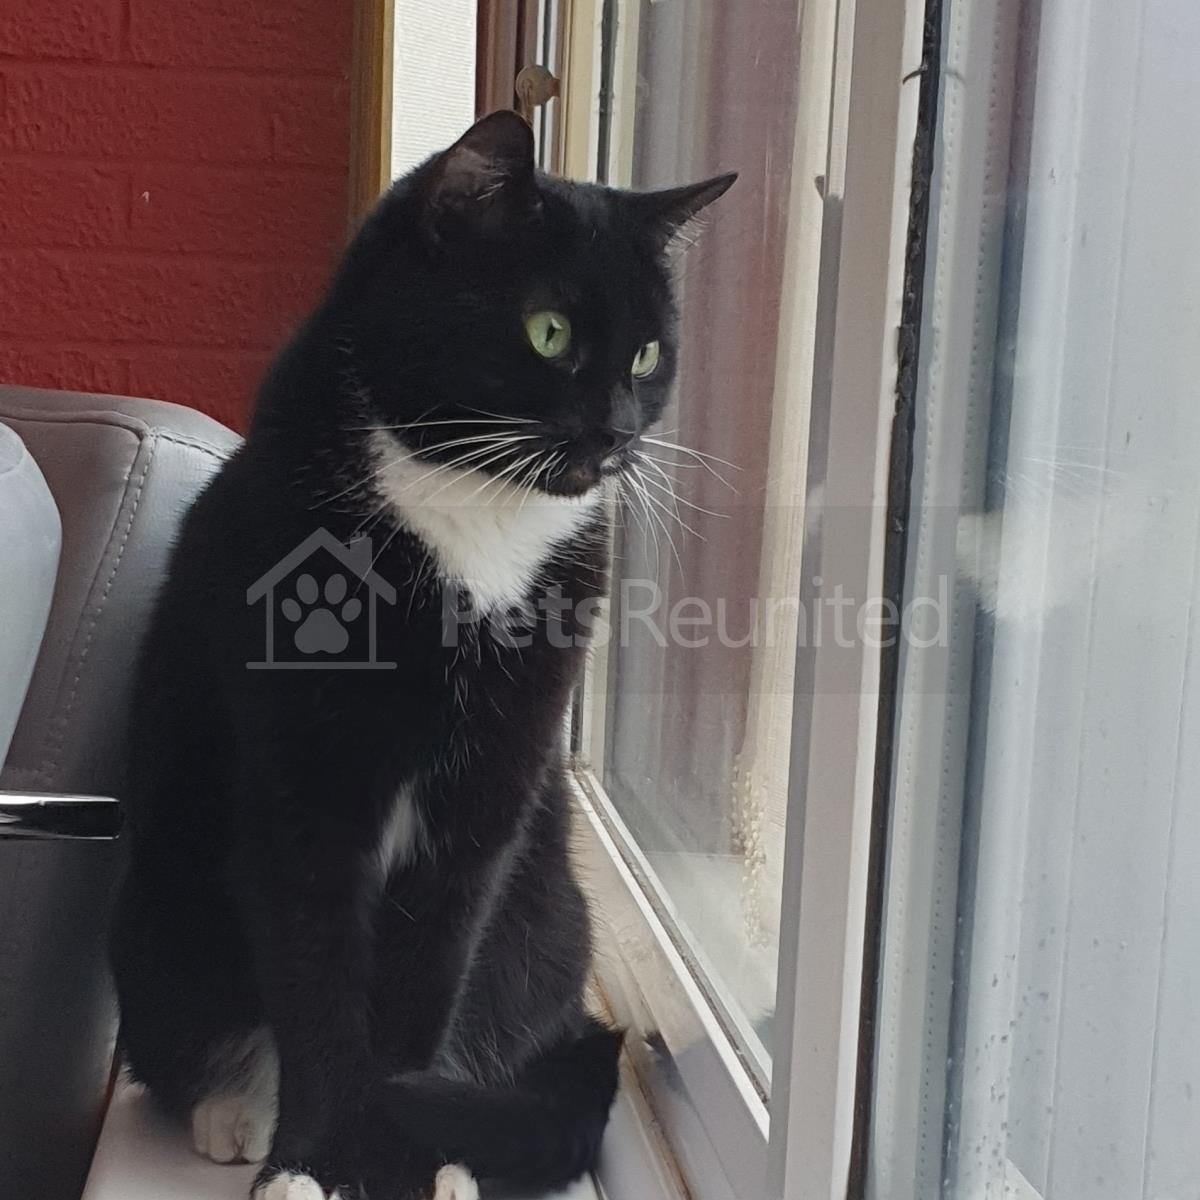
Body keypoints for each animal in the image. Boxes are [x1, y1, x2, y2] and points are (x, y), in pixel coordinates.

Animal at [108, 109, 734, 1200]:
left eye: (650, 354)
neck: (469, 520)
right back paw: (239, 1113)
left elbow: (421, 990)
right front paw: (314, 1161)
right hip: (153, 919)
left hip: (550, 911)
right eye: (549, 331)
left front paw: (395, 1158)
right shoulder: (302, 800)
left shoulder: (485, 803)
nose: (617, 432)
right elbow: (317, 986)